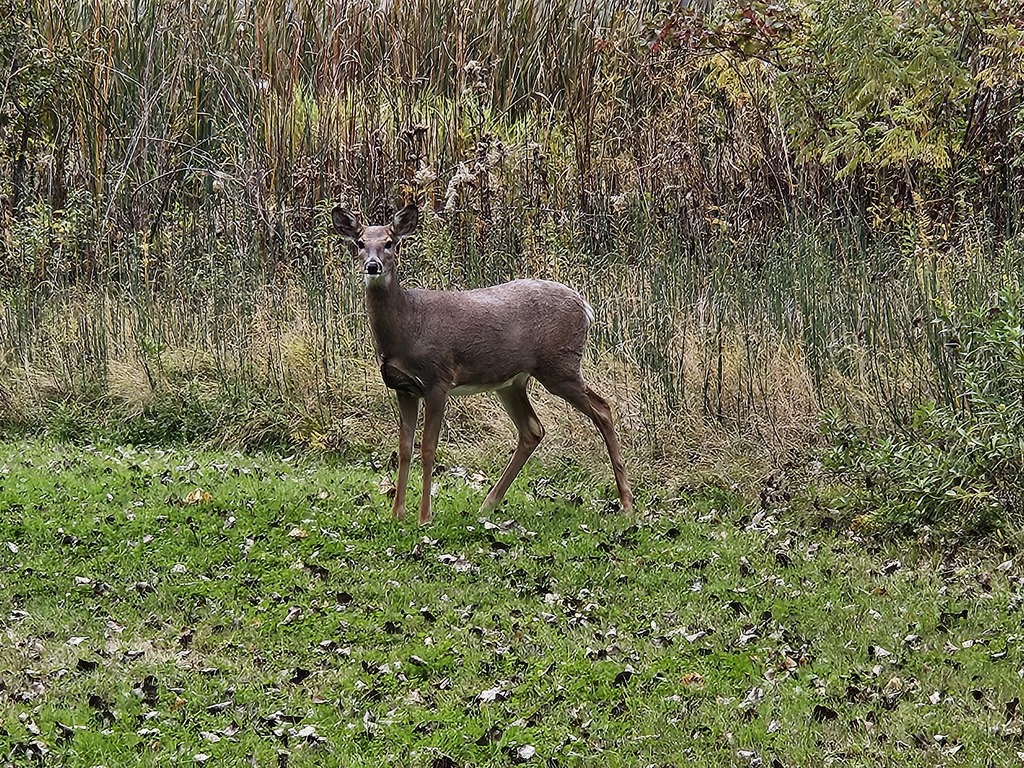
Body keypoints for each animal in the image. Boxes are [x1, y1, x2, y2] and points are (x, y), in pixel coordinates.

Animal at [332, 203, 634, 525]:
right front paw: (397, 513)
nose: (372, 265)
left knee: (602, 408)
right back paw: (489, 503)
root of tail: (585, 306)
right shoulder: (403, 387)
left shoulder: (438, 379)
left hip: (560, 365)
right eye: (360, 243)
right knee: (533, 429)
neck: (408, 325)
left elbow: (428, 448)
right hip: (513, 381)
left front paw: (424, 516)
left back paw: (627, 503)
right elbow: (403, 448)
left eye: (390, 243)